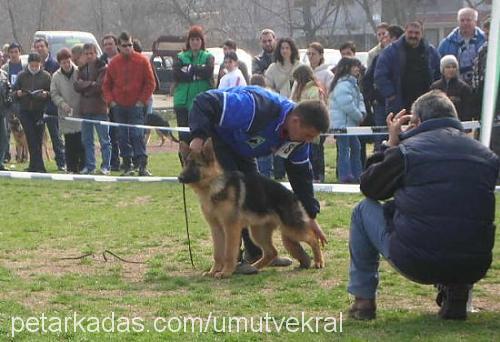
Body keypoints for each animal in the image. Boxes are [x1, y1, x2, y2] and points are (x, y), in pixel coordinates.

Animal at [179, 138, 324, 278]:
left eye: (196, 165)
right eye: (186, 164)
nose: (180, 178)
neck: (214, 185)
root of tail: (293, 195)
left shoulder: (231, 228)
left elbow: (229, 253)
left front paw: (226, 272)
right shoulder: (216, 229)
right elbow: (218, 254)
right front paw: (213, 271)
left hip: (291, 229)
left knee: (313, 239)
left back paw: (319, 262)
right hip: (258, 233)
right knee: (271, 252)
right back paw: (254, 267)